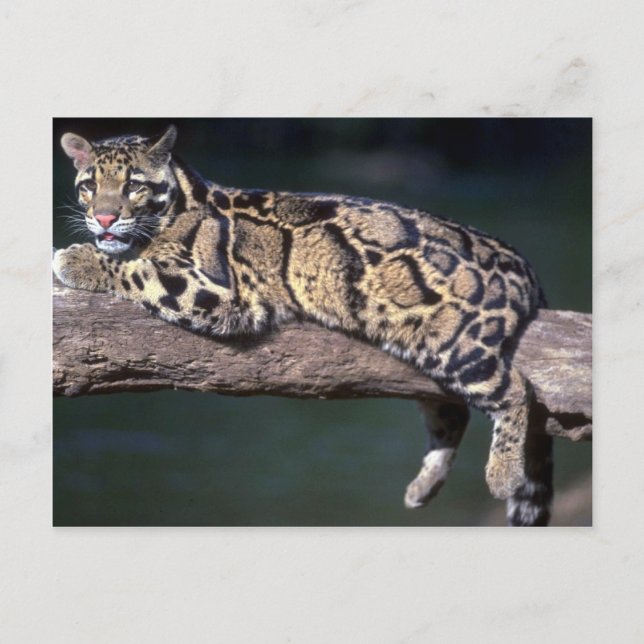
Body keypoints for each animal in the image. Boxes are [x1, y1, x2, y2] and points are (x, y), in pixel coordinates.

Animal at [53, 125, 554, 527]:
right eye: (89, 185)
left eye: (133, 185)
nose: (104, 217)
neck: (183, 198)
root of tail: (524, 264)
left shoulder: (222, 291)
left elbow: (138, 269)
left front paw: (77, 259)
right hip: (422, 346)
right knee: (452, 410)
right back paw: (423, 485)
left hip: (458, 345)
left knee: (516, 390)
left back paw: (503, 474)